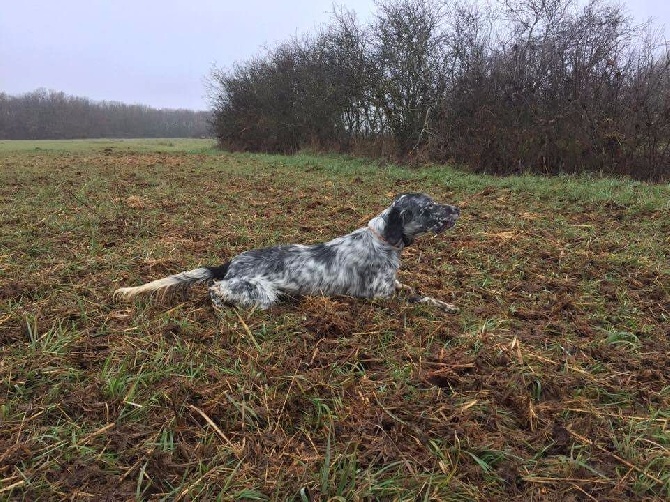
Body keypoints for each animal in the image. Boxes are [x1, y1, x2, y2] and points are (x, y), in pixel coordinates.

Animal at [115, 194, 462, 312]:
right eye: (428, 207)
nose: (457, 208)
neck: (382, 239)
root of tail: (229, 262)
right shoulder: (382, 296)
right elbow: (417, 298)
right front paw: (446, 308)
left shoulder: (394, 285)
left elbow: (418, 290)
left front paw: (447, 303)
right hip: (261, 293)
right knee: (214, 289)